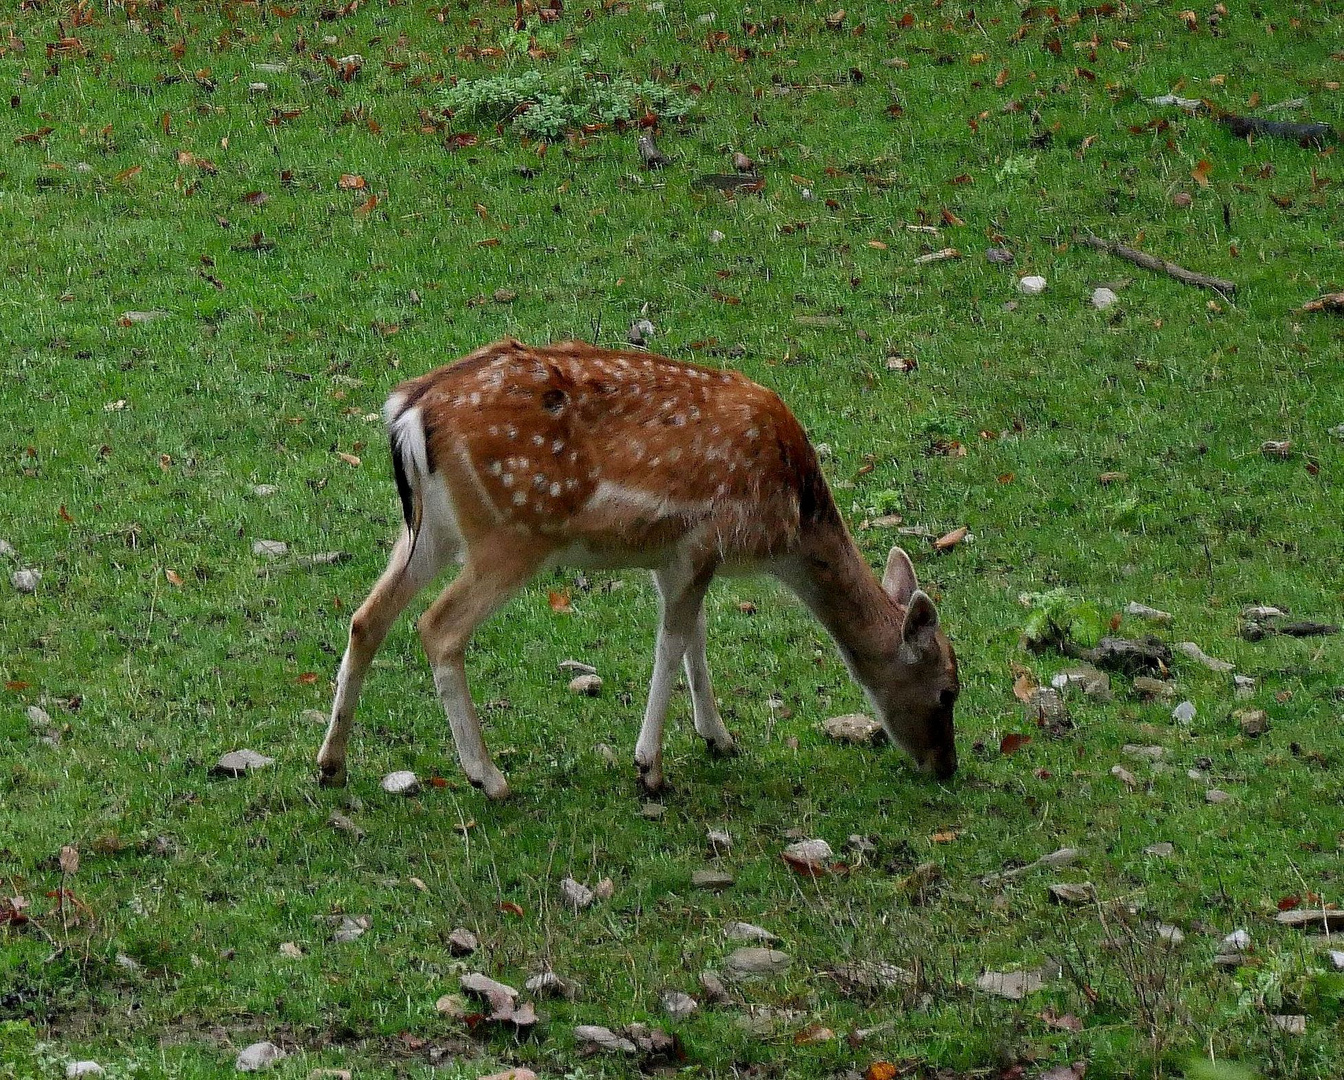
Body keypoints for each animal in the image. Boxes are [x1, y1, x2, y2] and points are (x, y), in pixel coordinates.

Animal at [317, 341, 956, 795]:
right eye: (950, 689)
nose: (945, 765)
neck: (791, 521)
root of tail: (408, 413)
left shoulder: (670, 558)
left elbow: (695, 637)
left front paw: (719, 739)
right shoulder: (702, 543)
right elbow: (672, 642)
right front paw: (650, 767)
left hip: (429, 531)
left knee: (366, 618)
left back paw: (331, 764)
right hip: (512, 534)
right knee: (438, 627)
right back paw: (489, 777)